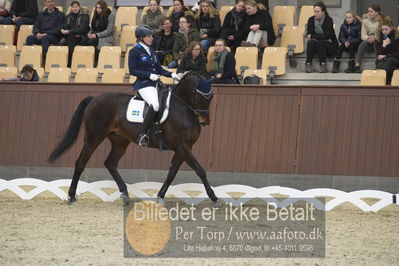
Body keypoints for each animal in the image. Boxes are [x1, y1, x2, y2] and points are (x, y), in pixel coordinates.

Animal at [48, 71, 220, 205]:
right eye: (199, 95)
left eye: (211, 96)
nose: (205, 121)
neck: (182, 108)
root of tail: (94, 99)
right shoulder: (182, 146)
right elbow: (200, 170)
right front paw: (214, 197)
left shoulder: (183, 148)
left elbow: (172, 174)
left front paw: (160, 196)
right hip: (93, 137)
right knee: (81, 163)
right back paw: (71, 196)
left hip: (120, 141)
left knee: (110, 163)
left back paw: (125, 194)